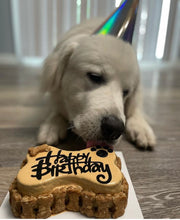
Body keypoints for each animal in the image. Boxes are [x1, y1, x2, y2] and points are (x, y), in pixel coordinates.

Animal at [38, 18, 156, 150]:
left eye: (126, 92)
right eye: (95, 77)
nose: (115, 128)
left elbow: (135, 108)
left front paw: (141, 127)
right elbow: (56, 109)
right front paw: (52, 125)